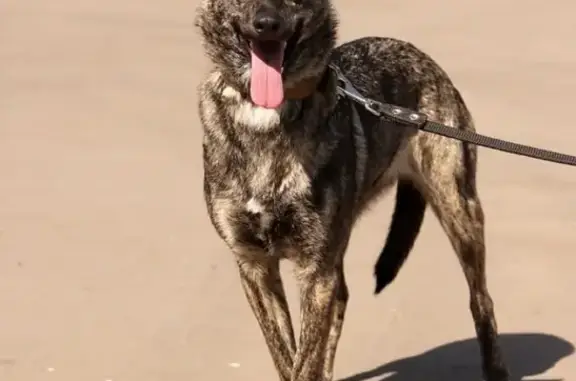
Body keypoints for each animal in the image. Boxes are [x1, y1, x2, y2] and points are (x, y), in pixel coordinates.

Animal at [197, 0, 508, 380]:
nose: (266, 24)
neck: (265, 116)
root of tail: (419, 54)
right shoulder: (256, 266)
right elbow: (285, 355)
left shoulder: (315, 272)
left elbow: (305, 361)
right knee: (342, 296)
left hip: (459, 209)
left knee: (481, 298)